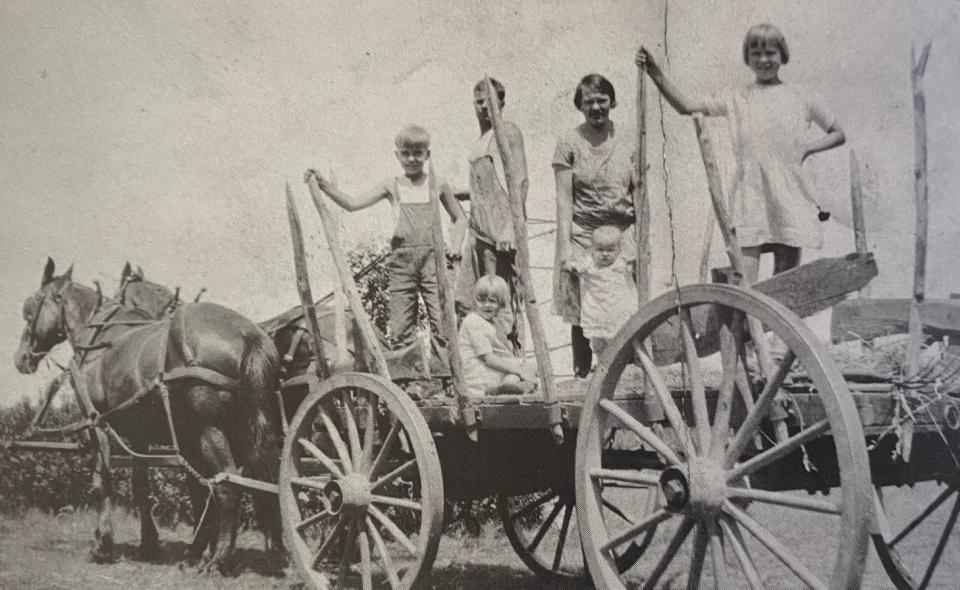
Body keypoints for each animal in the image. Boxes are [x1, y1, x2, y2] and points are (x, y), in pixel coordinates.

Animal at [15, 262, 282, 576]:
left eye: (30, 307)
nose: (21, 358)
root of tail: (246, 332)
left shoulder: (97, 426)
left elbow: (102, 483)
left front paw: (102, 545)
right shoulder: (140, 435)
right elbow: (141, 486)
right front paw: (150, 544)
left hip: (210, 428)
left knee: (227, 484)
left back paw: (218, 560)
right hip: (248, 427)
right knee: (265, 480)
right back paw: (272, 552)